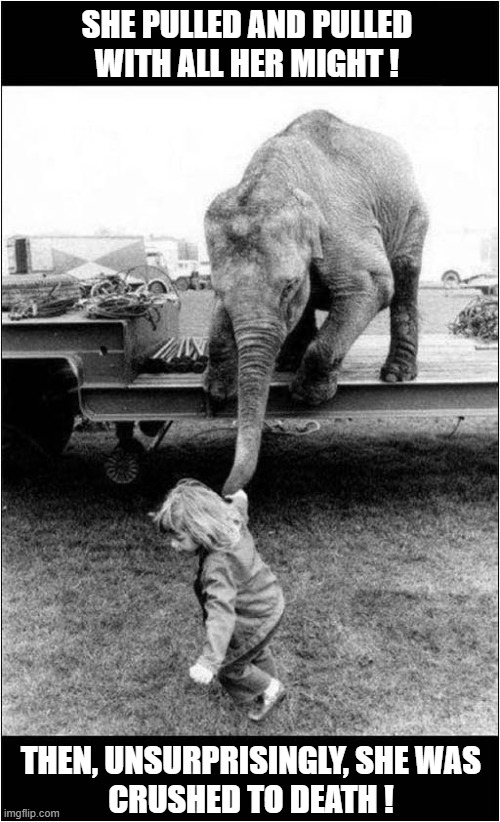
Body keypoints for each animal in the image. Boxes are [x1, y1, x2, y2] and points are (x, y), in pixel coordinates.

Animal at [204, 110, 429, 495]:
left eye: (288, 286)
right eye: (215, 287)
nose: (226, 492)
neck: (274, 178)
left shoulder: (342, 227)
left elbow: (374, 284)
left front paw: (307, 396)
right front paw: (217, 389)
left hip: (413, 214)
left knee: (403, 273)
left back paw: (396, 374)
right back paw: (287, 360)